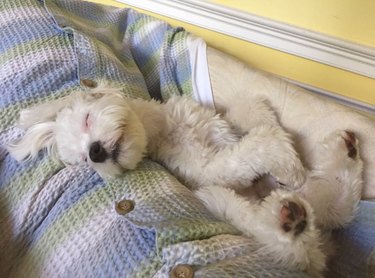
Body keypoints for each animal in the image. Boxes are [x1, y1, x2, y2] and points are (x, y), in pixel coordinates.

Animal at [6, 81, 364, 276]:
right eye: (83, 161)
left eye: (87, 119)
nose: (94, 153)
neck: (163, 128)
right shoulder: (207, 169)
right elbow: (253, 149)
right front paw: (281, 153)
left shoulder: (218, 124)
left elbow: (245, 115)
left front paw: (264, 117)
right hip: (226, 205)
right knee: (296, 245)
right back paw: (289, 221)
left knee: (335, 206)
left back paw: (347, 152)